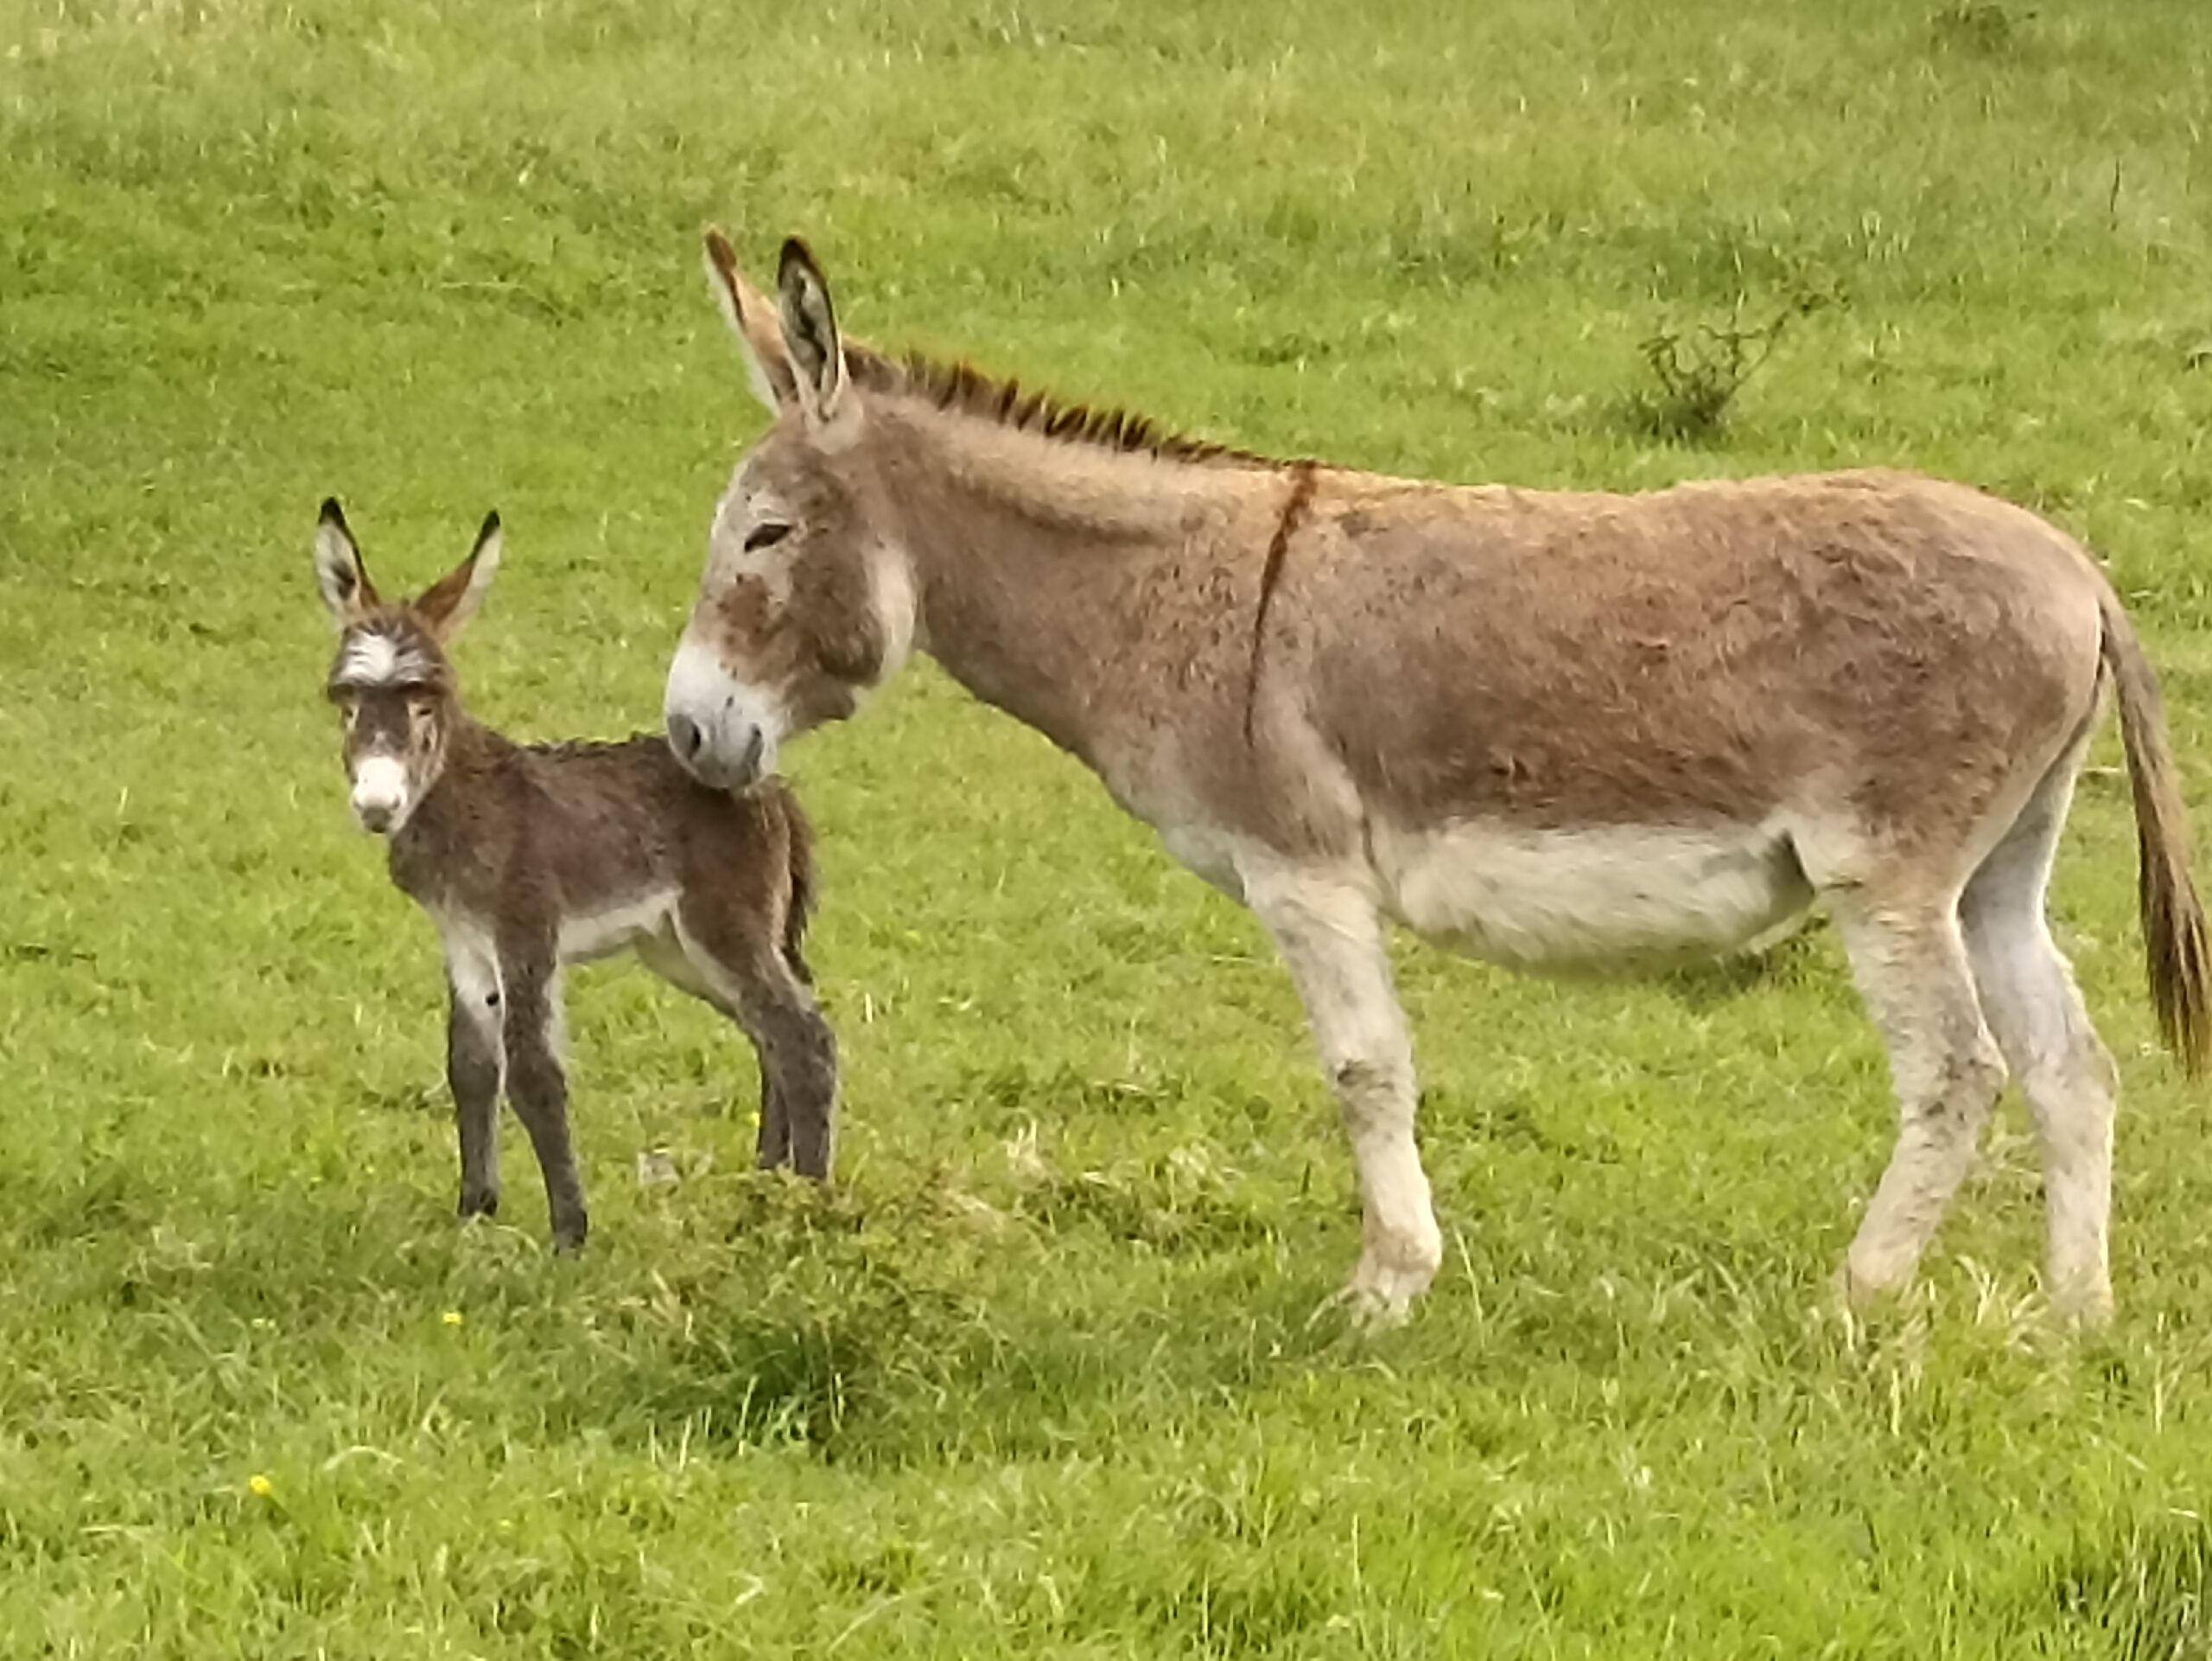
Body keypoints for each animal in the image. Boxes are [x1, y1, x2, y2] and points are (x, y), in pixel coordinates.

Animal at [307, 500, 831, 1256]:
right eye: (345, 700)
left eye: (425, 701)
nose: (377, 806)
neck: (466, 798)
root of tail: (774, 789)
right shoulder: (465, 944)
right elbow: (471, 1068)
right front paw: (475, 1212)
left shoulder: (527, 930)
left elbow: (533, 1072)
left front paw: (569, 1235)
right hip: (679, 948)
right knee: (771, 1035)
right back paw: (767, 1186)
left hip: (723, 925)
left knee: (802, 1037)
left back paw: (811, 1204)